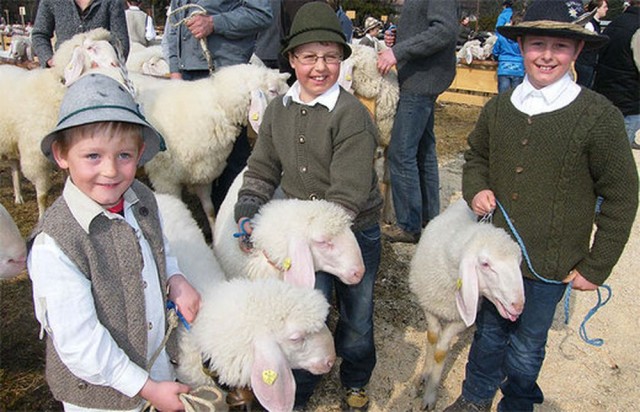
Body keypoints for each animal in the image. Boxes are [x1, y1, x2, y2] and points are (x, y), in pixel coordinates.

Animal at [410, 199, 524, 408]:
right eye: (485, 264)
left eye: (519, 263)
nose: (518, 306)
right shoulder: (428, 304)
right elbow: (432, 337)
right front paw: (424, 375)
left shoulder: (460, 319)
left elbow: (441, 351)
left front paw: (430, 393)